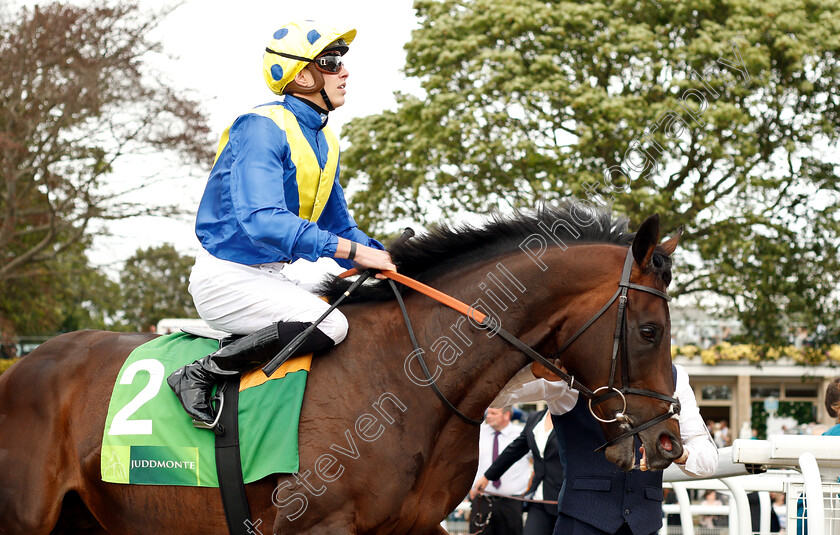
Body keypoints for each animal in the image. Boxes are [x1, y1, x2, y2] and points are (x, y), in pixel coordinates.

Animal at [0, 203, 684, 532]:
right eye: (651, 330)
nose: (669, 442)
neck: (410, 379)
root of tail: (21, 367)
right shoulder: (316, 527)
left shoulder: (414, 528)